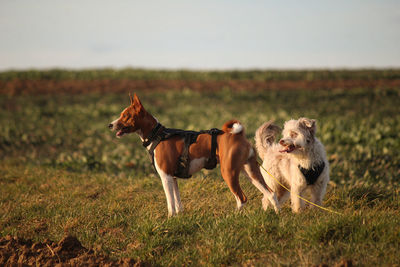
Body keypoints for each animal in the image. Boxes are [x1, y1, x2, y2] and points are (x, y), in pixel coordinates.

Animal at [108, 93, 280, 217]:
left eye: (126, 116)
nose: (109, 125)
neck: (157, 135)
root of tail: (239, 135)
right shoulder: (173, 178)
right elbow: (177, 202)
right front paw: (179, 217)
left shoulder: (165, 177)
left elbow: (170, 203)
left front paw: (170, 219)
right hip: (251, 172)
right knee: (271, 194)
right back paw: (277, 214)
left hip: (229, 173)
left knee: (242, 198)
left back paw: (234, 216)